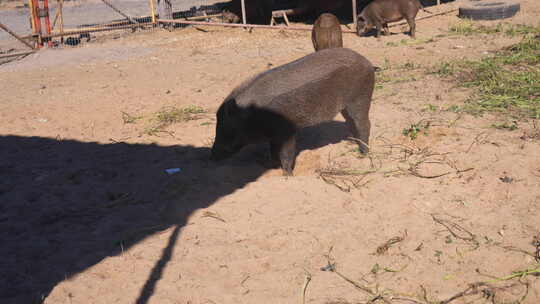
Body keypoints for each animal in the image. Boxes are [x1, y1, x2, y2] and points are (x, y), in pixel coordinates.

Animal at [211, 47, 376, 176]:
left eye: (228, 128)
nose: (212, 155)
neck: (256, 114)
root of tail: (367, 62)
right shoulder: (274, 135)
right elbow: (273, 151)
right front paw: (271, 168)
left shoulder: (288, 130)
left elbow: (286, 154)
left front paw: (287, 176)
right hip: (346, 106)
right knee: (350, 122)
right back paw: (352, 143)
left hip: (360, 98)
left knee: (364, 124)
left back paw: (363, 154)